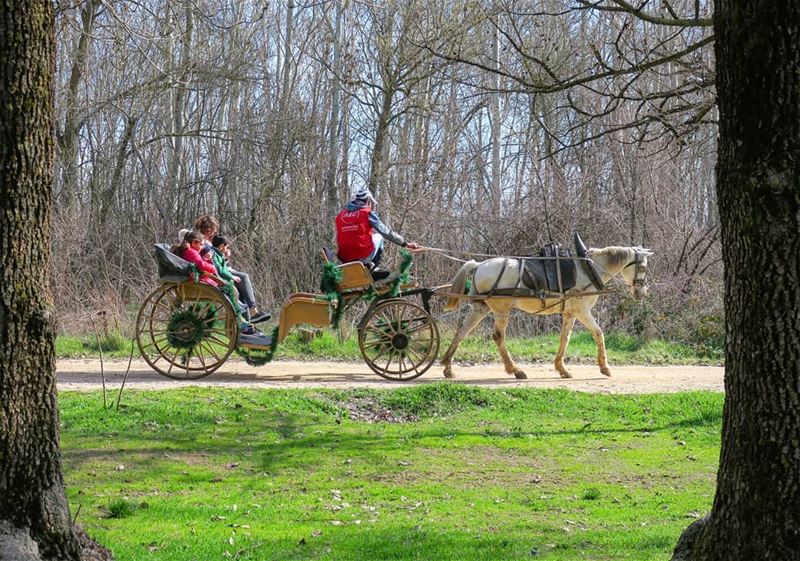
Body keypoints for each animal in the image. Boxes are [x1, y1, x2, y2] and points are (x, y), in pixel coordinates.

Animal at [440, 244, 652, 378]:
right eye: (642, 267)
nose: (641, 292)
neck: (589, 269)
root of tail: (478, 265)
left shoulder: (569, 313)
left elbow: (564, 338)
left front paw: (562, 369)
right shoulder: (582, 311)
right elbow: (599, 333)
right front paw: (604, 367)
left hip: (480, 308)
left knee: (462, 332)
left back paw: (448, 367)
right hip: (501, 309)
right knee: (498, 337)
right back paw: (515, 370)